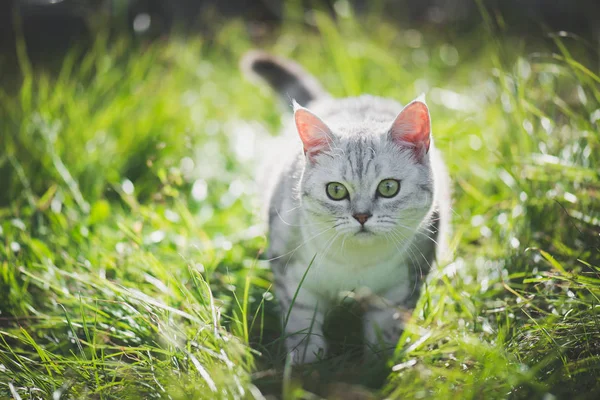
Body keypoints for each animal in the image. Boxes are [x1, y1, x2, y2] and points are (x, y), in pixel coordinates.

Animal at [241, 50, 448, 366]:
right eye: (336, 191)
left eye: (389, 188)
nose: (361, 216)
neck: (355, 262)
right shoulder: (292, 275)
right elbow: (300, 317)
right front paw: (306, 358)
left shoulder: (404, 285)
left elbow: (385, 328)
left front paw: (377, 362)